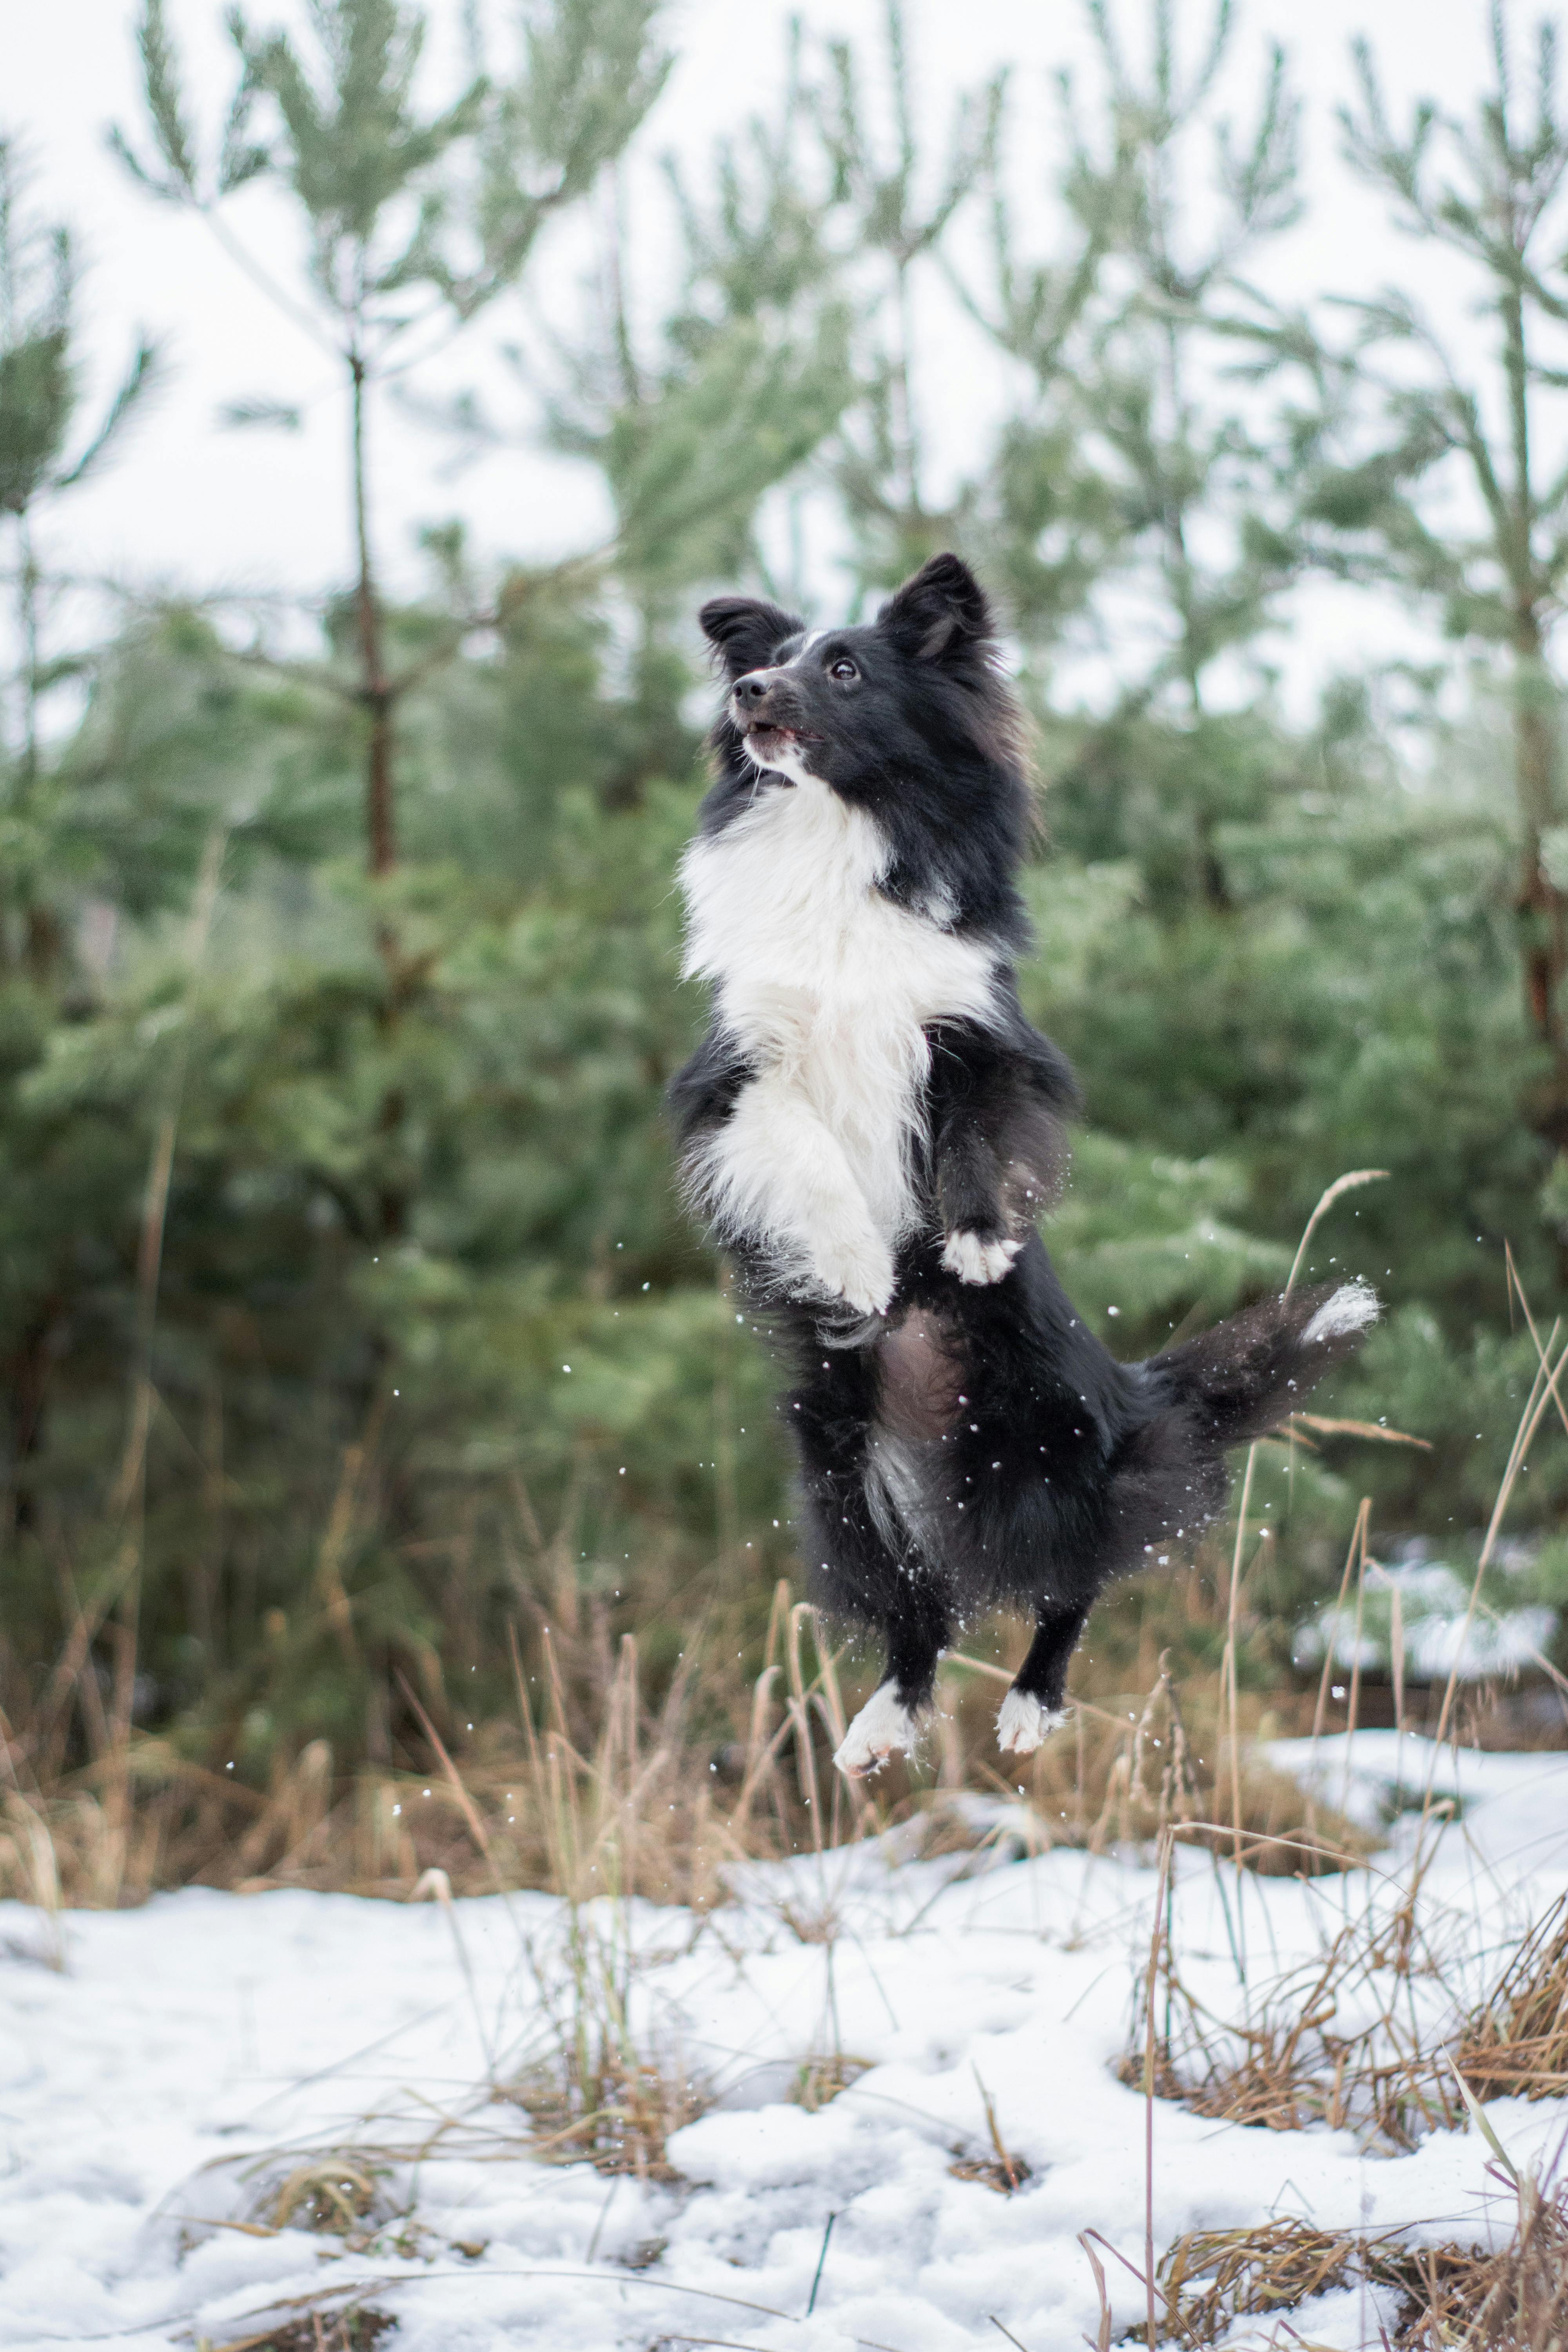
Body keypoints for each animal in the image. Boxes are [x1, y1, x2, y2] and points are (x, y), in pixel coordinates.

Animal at [672, 550, 1373, 1769]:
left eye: (844, 667)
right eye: (771, 657)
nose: (747, 689)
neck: (835, 842)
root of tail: (1134, 1394)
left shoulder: (979, 1044)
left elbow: (981, 1145)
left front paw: (975, 1246)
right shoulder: (737, 1080)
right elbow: (804, 1148)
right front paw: (858, 1271)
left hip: (1043, 1448)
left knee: (1078, 1574)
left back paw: (1032, 1707)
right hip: (842, 1476)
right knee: (919, 1607)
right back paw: (880, 1724)